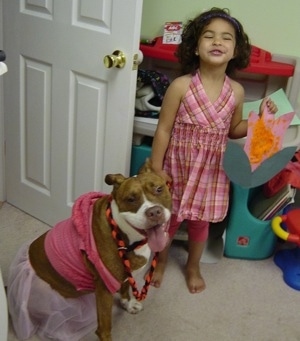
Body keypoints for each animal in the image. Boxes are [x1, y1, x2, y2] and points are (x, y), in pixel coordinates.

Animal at [6, 161, 171, 340]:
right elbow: (104, 328)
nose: (154, 212)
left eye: (159, 189)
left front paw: (128, 303)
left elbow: (125, 287)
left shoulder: (125, 274)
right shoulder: (104, 289)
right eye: (131, 199)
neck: (124, 234)